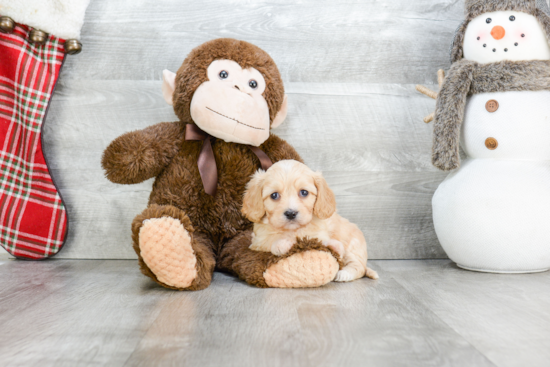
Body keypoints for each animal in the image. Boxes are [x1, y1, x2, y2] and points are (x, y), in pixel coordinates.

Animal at [243, 160, 380, 284]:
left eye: (304, 192)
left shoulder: (319, 234)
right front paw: (282, 244)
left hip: (353, 247)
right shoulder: (258, 241)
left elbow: (322, 241)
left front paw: (334, 245)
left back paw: (343, 274)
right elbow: (270, 240)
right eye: (274, 195)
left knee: (359, 267)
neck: (293, 230)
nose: (291, 213)